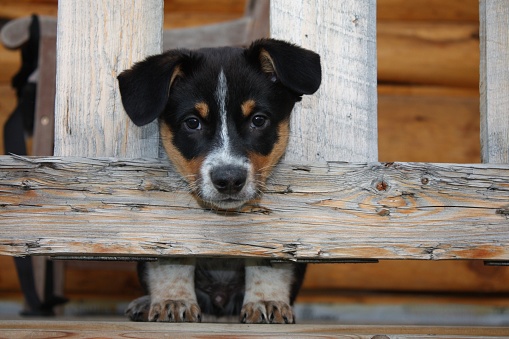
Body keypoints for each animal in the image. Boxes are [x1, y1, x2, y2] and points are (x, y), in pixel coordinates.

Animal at [117, 38, 320, 326]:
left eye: (258, 120)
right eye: (192, 123)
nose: (229, 180)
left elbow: (268, 264)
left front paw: (266, 302)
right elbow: (171, 262)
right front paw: (173, 301)